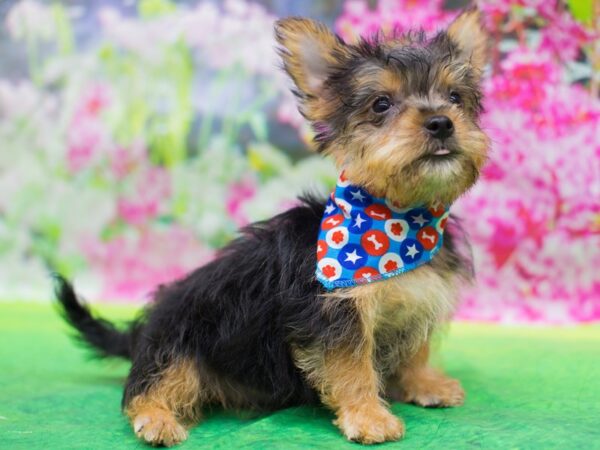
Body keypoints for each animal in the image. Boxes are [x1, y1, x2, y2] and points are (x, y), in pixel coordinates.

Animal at [55, 7, 488, 446]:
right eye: (381, 104)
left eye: (455, 97)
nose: (441, 123)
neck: (399, 221)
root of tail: (143, 331)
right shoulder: (335, 312)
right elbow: (351, 366)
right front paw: (368, 415)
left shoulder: (418, 299)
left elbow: (416, 348)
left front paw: (424, 383)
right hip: (181, 337)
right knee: (151, 384)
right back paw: (156, 419)